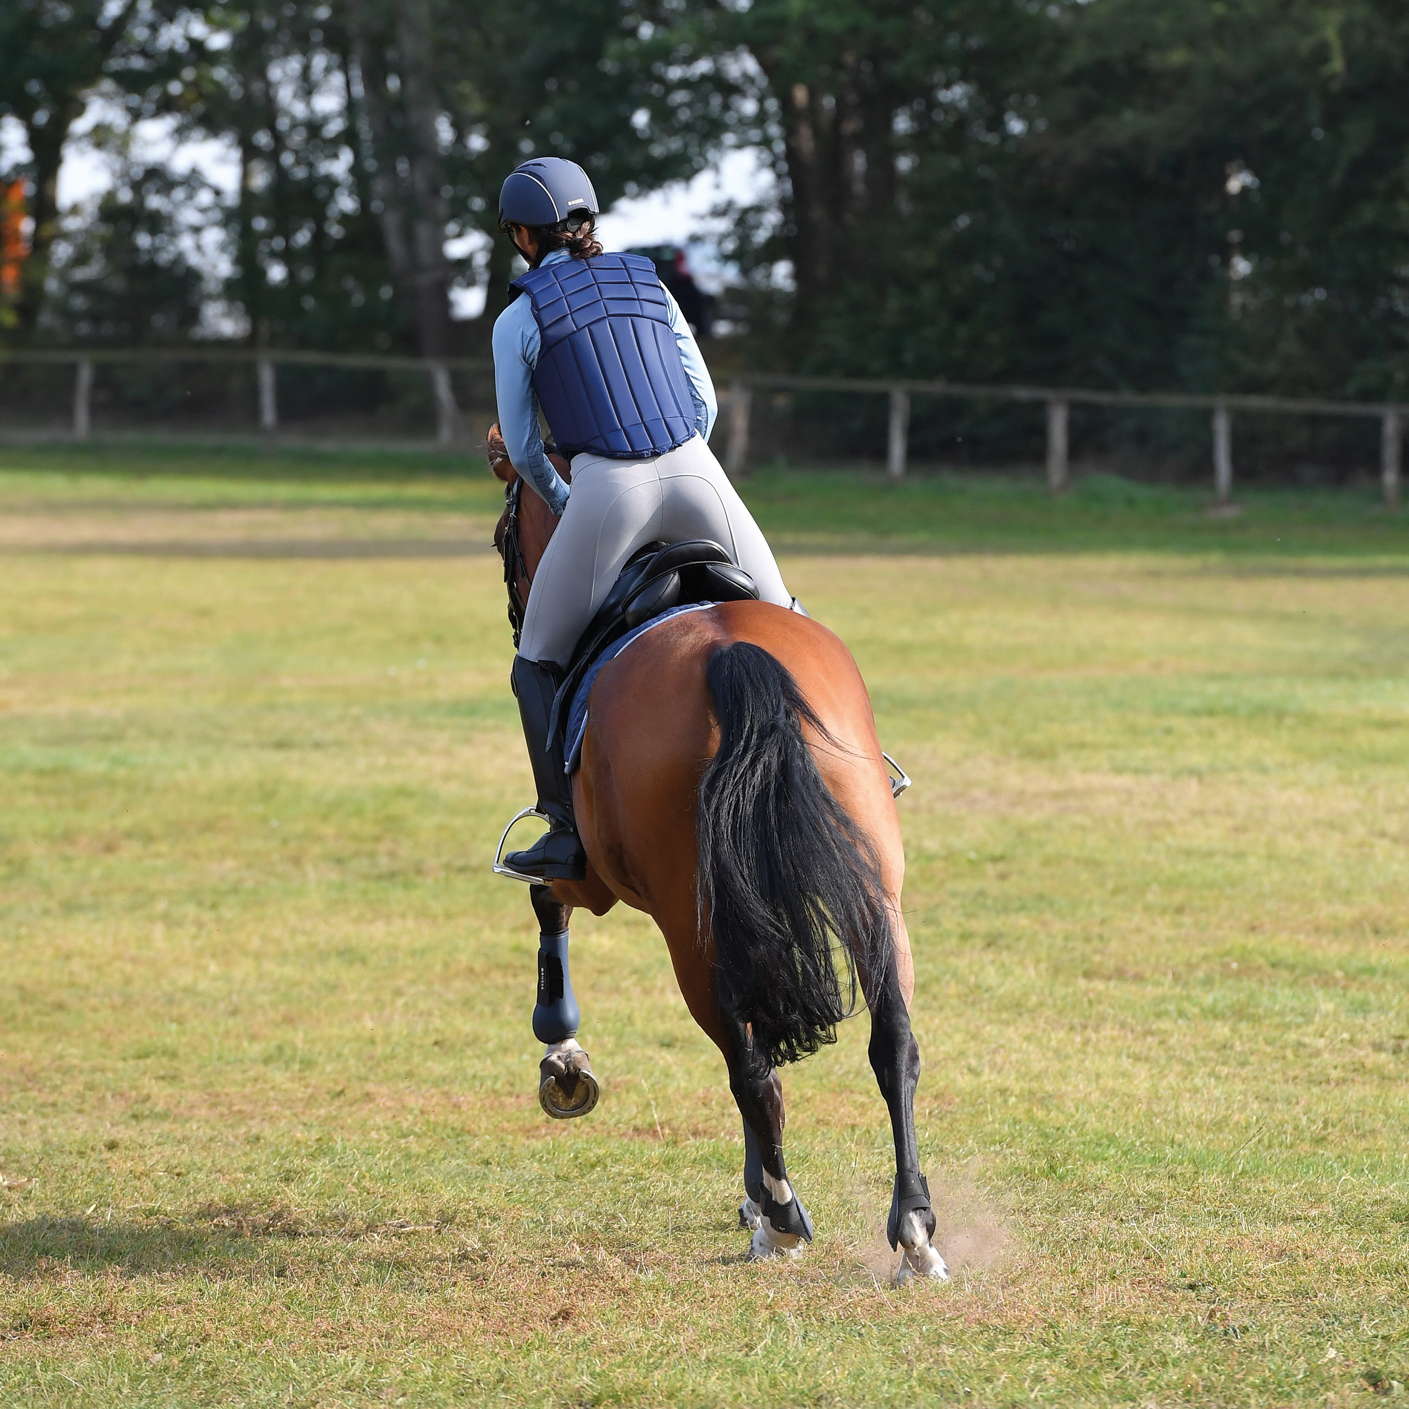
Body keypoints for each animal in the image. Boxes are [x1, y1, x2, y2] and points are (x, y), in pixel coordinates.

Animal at [484, 422, 946, 1285]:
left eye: (503, 535)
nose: (514, 602)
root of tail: (733, 657)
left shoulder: (593, 872)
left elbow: (544, 895)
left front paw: (563, 1058)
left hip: (688, 927)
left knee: (747, 1064)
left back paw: (783, 1218)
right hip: (872, 892)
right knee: (891, 1041)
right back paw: (912, 1229)